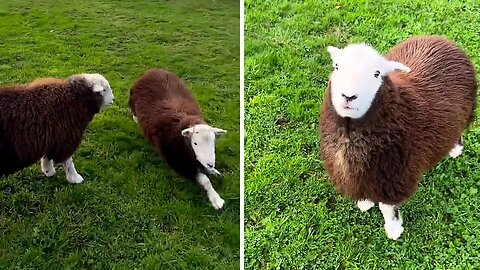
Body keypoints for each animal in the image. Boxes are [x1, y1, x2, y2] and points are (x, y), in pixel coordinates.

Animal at [128, 68, 228, 210]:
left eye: (214, 141)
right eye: (195, 143)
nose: (210, 164)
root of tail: (152, 70)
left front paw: (214, 171)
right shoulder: (178, 163)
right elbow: (205, 180)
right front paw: (216, 199)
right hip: (132, 100)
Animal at [320, 35, 478, 238]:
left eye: (377, 74)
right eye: (337, 67)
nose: (348, 96)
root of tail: (441, 40)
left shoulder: (394, 176)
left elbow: (387, 208)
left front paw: (394, 229)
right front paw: (365, 202)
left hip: (466, 110)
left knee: (459, 130)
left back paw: (455, 149)